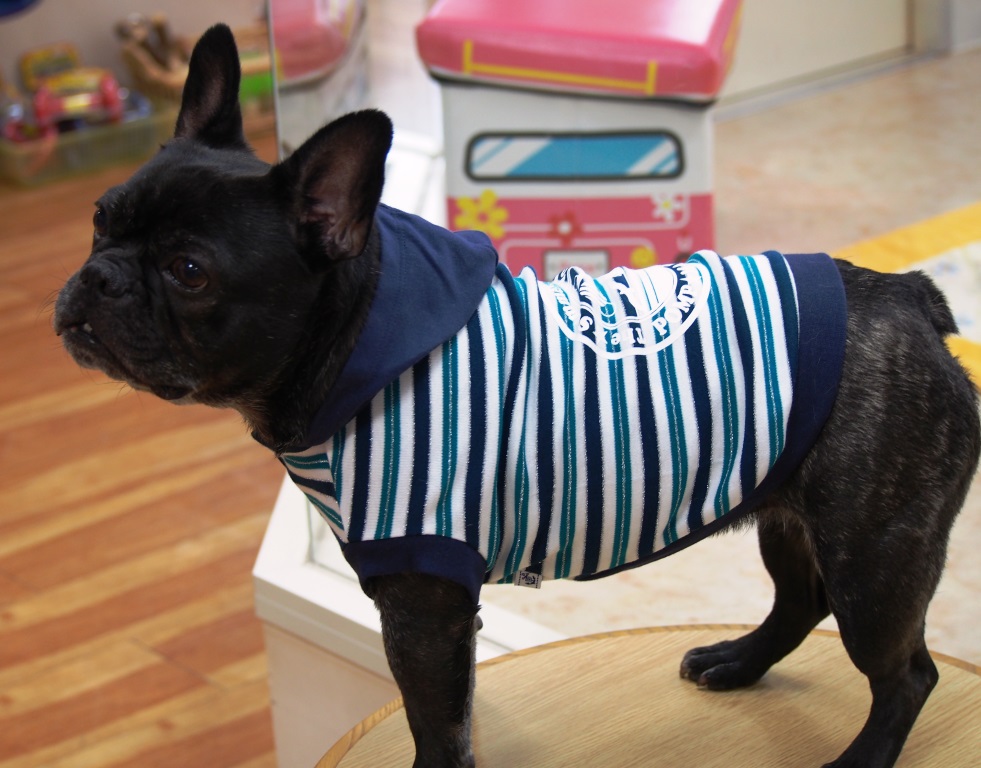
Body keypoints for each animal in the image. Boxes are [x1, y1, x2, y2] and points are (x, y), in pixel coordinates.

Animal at [54, 25, 980, 768]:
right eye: (99, 219)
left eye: (189, 271)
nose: (97, 276)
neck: (354, 334)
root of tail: (908, 297)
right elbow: (450, 710)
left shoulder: (422, 601)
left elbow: (436, 725)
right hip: (790, 515)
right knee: (798, 601)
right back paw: (734, 662)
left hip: (873, 555)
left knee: (905, 673)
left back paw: (860, 756)